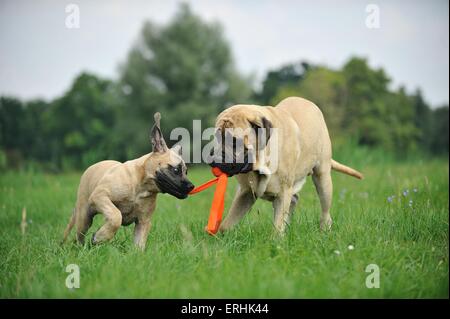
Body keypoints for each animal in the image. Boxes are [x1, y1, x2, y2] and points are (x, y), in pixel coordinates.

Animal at [62, 113, 193, 250]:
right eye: (176, 170)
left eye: (186, 171)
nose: (191, 186)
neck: (141, 187)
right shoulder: (100, 196)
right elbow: (116, 216)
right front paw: (100, 237)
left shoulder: (143, 222)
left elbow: (138, 245)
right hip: (84, 217)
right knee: (80, 236)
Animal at [210, 96, 362, 234]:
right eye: (216, 136)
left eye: (234, 141)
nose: (213, 156)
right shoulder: (246, 192)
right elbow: (227, 223)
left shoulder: (282, 192)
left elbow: (277, 225)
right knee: (293, 201)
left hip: (322, 178)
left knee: (325, 210)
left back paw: (324, 228)